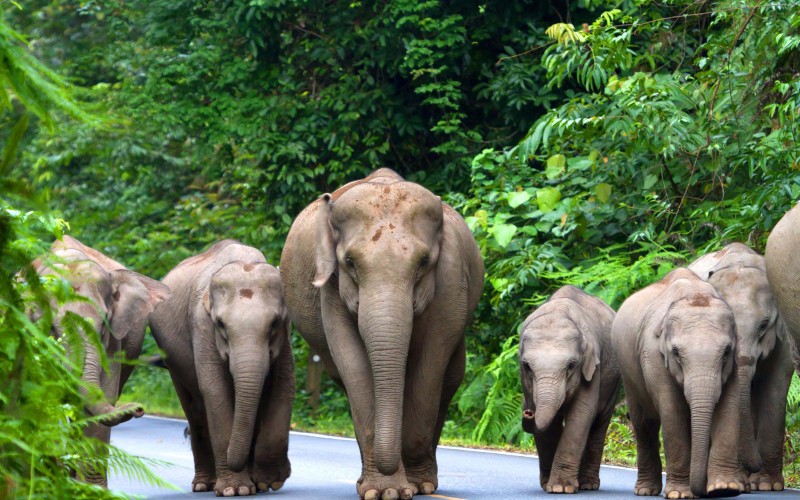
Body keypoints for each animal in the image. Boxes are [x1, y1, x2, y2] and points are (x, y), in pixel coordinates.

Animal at [34, 235, 170, 486]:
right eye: (53, 328)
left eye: (104, 323)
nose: (138, 408)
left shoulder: (114, 342)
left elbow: (101, 400)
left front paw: (90, 490)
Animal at [149, 240, 294, 497]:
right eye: (220, 324)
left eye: (274, 323)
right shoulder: (201, 326)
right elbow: (215, 391)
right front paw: (235, 490)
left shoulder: (285, 337)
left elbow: (283, 386)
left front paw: (269, 482)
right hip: (173, 361)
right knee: (195, 409)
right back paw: (204, 485)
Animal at [280, 168, 484, 499]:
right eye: (350, 262)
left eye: (424, 262)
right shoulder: (331, 291)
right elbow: (353, 365)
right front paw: (384, 491)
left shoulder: (451, 281)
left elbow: (430, 365)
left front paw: (415, 486)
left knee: (450, 378)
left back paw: (425, 482)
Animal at [519, 285, 620, 493]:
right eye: (527, 366)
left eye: (571, 365)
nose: (528, 412)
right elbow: (550, 425)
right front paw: (550, 486)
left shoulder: (593, 367)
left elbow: (581, 414)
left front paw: (561, 488)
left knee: (599, 424)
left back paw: (588, 484)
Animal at [611, 268, 744, 498]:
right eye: (676, 353)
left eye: (726, 351)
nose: (704, 491)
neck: (695, 293)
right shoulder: (652, 355)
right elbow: (672, 412)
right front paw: (680, 494)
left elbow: (729, 407)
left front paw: (724, 488)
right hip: (628, 374)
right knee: (644, 424)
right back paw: (646, 490)